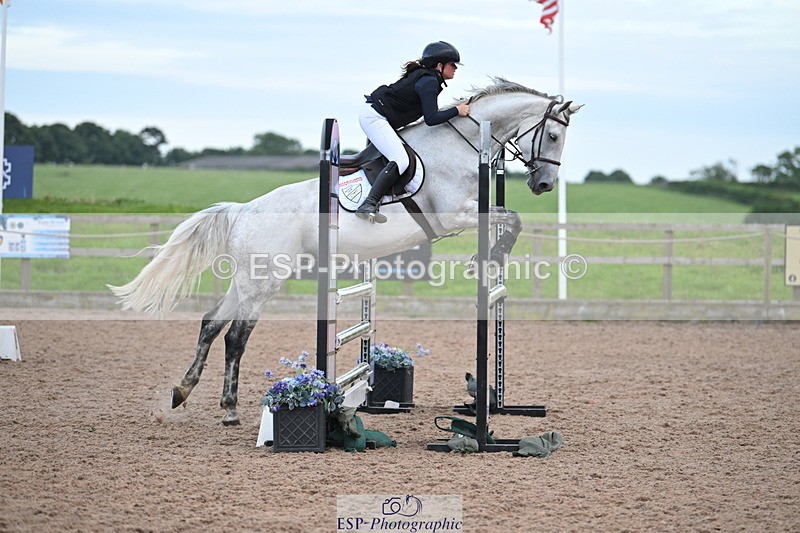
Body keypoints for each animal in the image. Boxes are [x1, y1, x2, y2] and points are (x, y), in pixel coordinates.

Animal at [109, 78, 583, 425]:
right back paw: (228, 410)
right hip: (264, 281)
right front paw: (489, 257)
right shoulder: (454, 215)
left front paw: (491, 257)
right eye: (553, 135)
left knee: (211, 324)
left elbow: (512, 218)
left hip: (246, 280)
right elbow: (512, 219)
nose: (544, 184)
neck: (460, 146)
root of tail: (245, 210)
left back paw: (183, 391)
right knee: (235, 337)